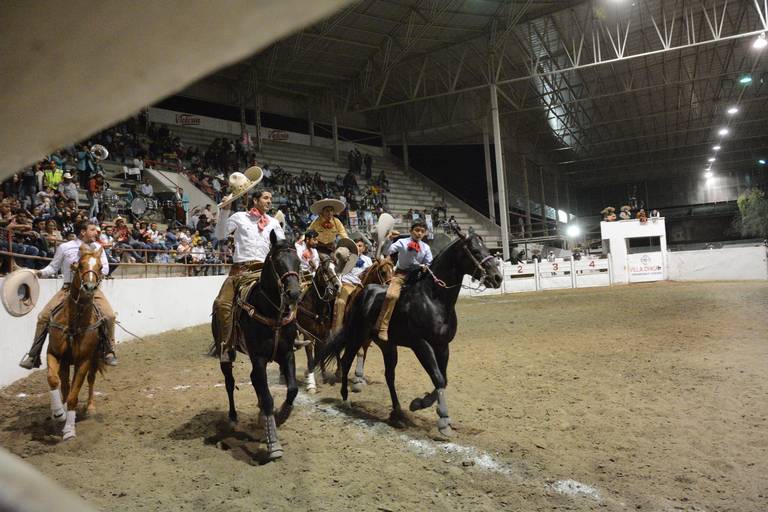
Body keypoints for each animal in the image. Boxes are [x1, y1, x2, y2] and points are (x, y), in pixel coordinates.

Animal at [46, 244, 109, 440]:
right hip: (66, 362)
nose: (89, 287)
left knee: (90, 380)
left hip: (94, 360)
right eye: (80, 265)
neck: (75, 323)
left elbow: (74, 395)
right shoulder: (54, 354)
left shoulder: (84, 360)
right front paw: (59, 413)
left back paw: (90, 407)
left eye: (100, 267)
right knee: (65, 384)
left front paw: (69, 429)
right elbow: (53, 380)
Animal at [213, 232, 306, 460]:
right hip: (227, 354)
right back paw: (232, 417)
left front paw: (281, 416)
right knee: (230, 383)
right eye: (278, 262)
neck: (271, 312)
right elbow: (267, 398)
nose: (293, 294)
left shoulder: (287, 354)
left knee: (255, 381)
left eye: (298, 261)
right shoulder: (259, 358)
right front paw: (273, 444)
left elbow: (291, 389)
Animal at [318, 230, 504, 434]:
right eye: (475, 251)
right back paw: (345, 400)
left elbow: (443, 378)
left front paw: (419, 403)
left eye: (487, 249)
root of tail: (363, 292)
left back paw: (397, 413)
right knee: (346, 361)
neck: (433, 299)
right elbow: (438, 378)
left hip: (387, 345)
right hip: (357, 336)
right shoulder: (421, 345)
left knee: (389, 376)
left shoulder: (442, 346)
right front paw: (443, 420)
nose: (497, 277)